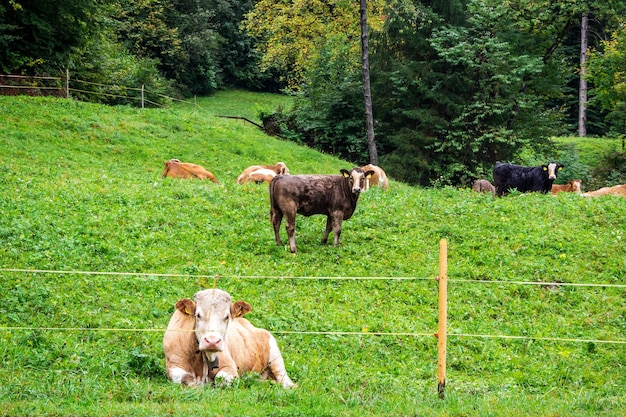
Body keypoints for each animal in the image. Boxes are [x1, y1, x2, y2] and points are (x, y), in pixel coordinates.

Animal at [163, 286, 294, 386]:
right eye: (198, 315)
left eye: (227, 317)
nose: (212, 341)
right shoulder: (173, 365)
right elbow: (187, 378)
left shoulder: (230, 367)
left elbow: (221, 379)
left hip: (274, 353)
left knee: (283, 377)